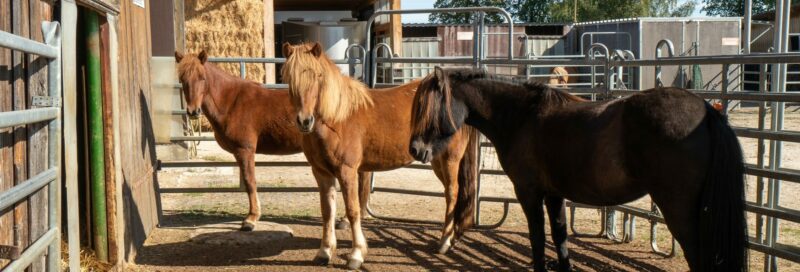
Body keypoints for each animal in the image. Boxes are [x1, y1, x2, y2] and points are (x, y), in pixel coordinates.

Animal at [173, 51, 374, 232]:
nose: (193, 111)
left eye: (202, 78)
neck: (231, 102)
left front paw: (251, 219)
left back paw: (347, 219)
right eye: (182, 79)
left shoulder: (245, 150)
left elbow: (250, 181)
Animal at [282, 43, 478, 270]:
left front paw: (356, 255)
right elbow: (327, 211)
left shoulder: (347, 171)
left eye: (318, 76)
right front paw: (324, 252)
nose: (305, 121)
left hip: (450, 159)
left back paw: (445, 241)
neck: (338, 118)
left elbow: (353, 210)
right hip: (436, 160)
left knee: (452, 193)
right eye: (289, 78)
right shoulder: (321, 172)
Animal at [410, 66, 748, 272]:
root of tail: (705, 111)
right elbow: (560, 238)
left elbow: (537, 239)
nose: (415, 149)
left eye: (428, 107)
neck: (522, 118)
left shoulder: (529, 193)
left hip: (680, 213)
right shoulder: (554, 195)